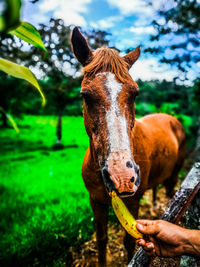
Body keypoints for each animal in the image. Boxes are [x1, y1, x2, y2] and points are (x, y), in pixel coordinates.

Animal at [70, 26, 186, 266]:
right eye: (85, 95)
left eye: (135, 94)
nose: (122, 177)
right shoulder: (96, 202)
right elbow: (102, 240)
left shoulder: (132, 203)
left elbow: (129, 243)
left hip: (174, 176)